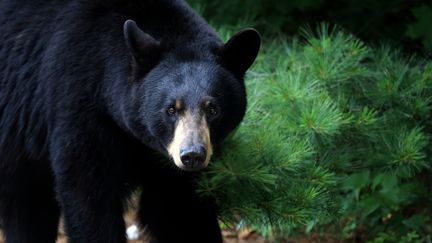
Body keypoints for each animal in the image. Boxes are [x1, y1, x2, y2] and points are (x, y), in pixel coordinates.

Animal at [0, 0, 258, 242]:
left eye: (212, 108)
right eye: (171, 109)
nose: (192, 155)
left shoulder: (169, 162)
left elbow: (179, 208)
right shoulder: (77, 103)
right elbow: (89, 195)